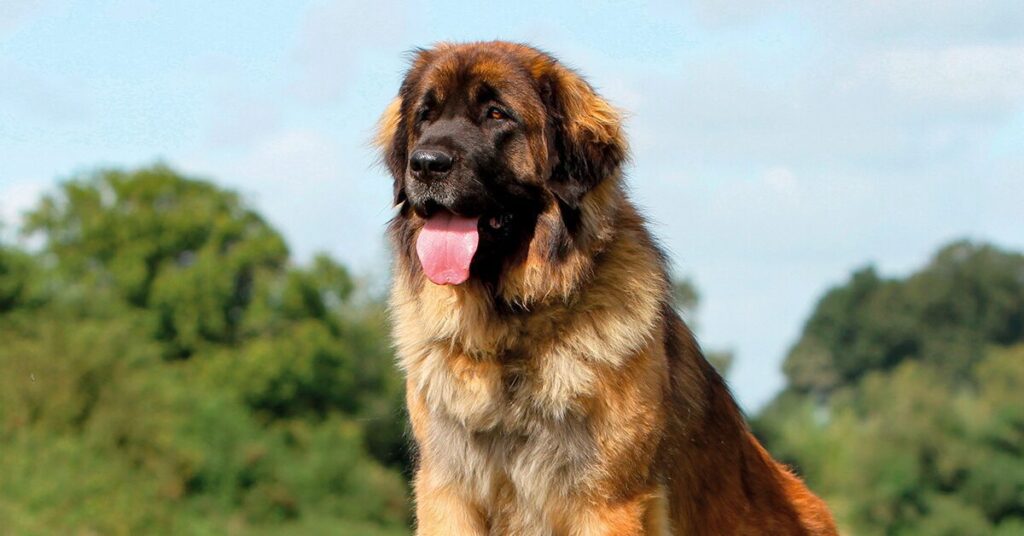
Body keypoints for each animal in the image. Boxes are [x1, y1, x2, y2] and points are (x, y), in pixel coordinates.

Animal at [372, 39, 835, 532]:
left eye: (497, 114)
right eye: (426, 116)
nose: (426, 164)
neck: (513, 334)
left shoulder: (606, 500)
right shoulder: (448, 491)